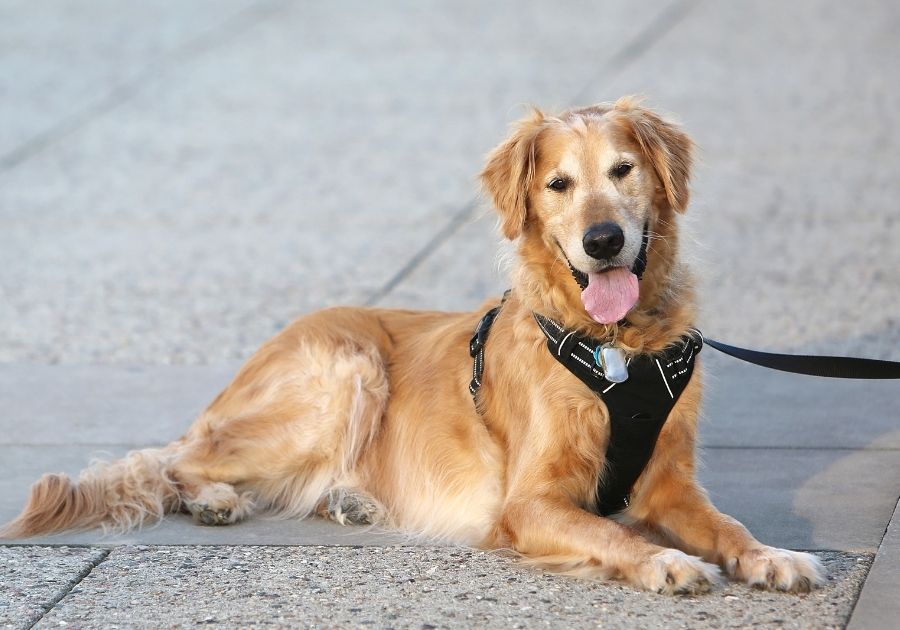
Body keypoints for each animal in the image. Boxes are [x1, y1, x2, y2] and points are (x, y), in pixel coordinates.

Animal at [3, 96, 828, 596]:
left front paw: (771, 555)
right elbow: (609, 533)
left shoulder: (670, 485)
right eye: (558, 184)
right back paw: (214, 498)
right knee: (174, 460)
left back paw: (341, 497)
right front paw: (664, 561)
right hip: (346, 374)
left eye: (623, 171)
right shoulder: (529, 502)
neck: (612, 347)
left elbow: (728, 525)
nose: (603, 241)